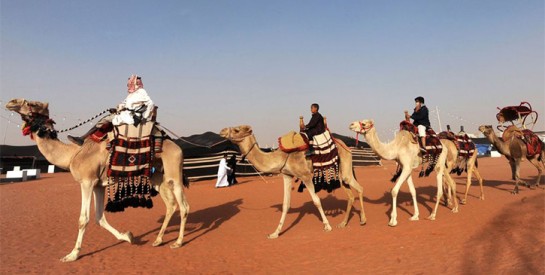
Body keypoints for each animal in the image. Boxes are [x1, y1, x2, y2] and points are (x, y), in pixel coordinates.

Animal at [4, 98, 189, 264]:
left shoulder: (87, 181)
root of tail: (178, 146)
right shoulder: (98, 185)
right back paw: (158, 240)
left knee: (184, 206)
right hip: (158, 177)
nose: (11, 102)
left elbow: (83, 219)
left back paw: (178, 242)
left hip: (174, 172)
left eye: (31, 103)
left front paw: (72, 255)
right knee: (171, 205)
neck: (72, 154)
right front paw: (128, 237)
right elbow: (99, 217)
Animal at [220, 125, 366, 239]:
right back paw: (343, 223)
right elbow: (286, 204)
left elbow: (316, 200)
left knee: (359, 188)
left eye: (237, 130)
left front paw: (327, 226)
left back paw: (363, 220)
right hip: (340, 174)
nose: (222, 131)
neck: (281, 156)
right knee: (350, 195)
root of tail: (345, 145)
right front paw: (274, 233)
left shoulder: (305, 175)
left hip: (345, 166)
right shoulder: (287, 175)